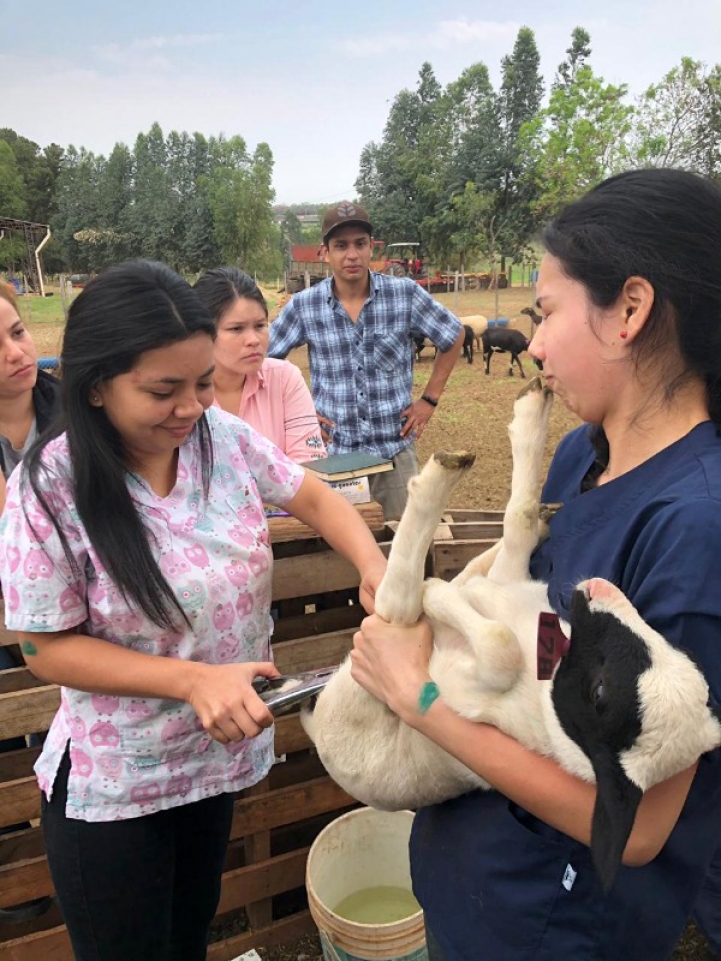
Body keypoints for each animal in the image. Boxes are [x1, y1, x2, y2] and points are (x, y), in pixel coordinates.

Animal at [302, 376, 720, 892]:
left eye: (601, 693)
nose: (595, 590)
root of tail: (316, 733)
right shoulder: (513, 583)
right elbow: (514, 525)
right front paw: (531, 421)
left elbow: (497, 646)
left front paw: (437, 592)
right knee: (485, 556)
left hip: (367, 687)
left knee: (398, 596)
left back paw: (438, 493)